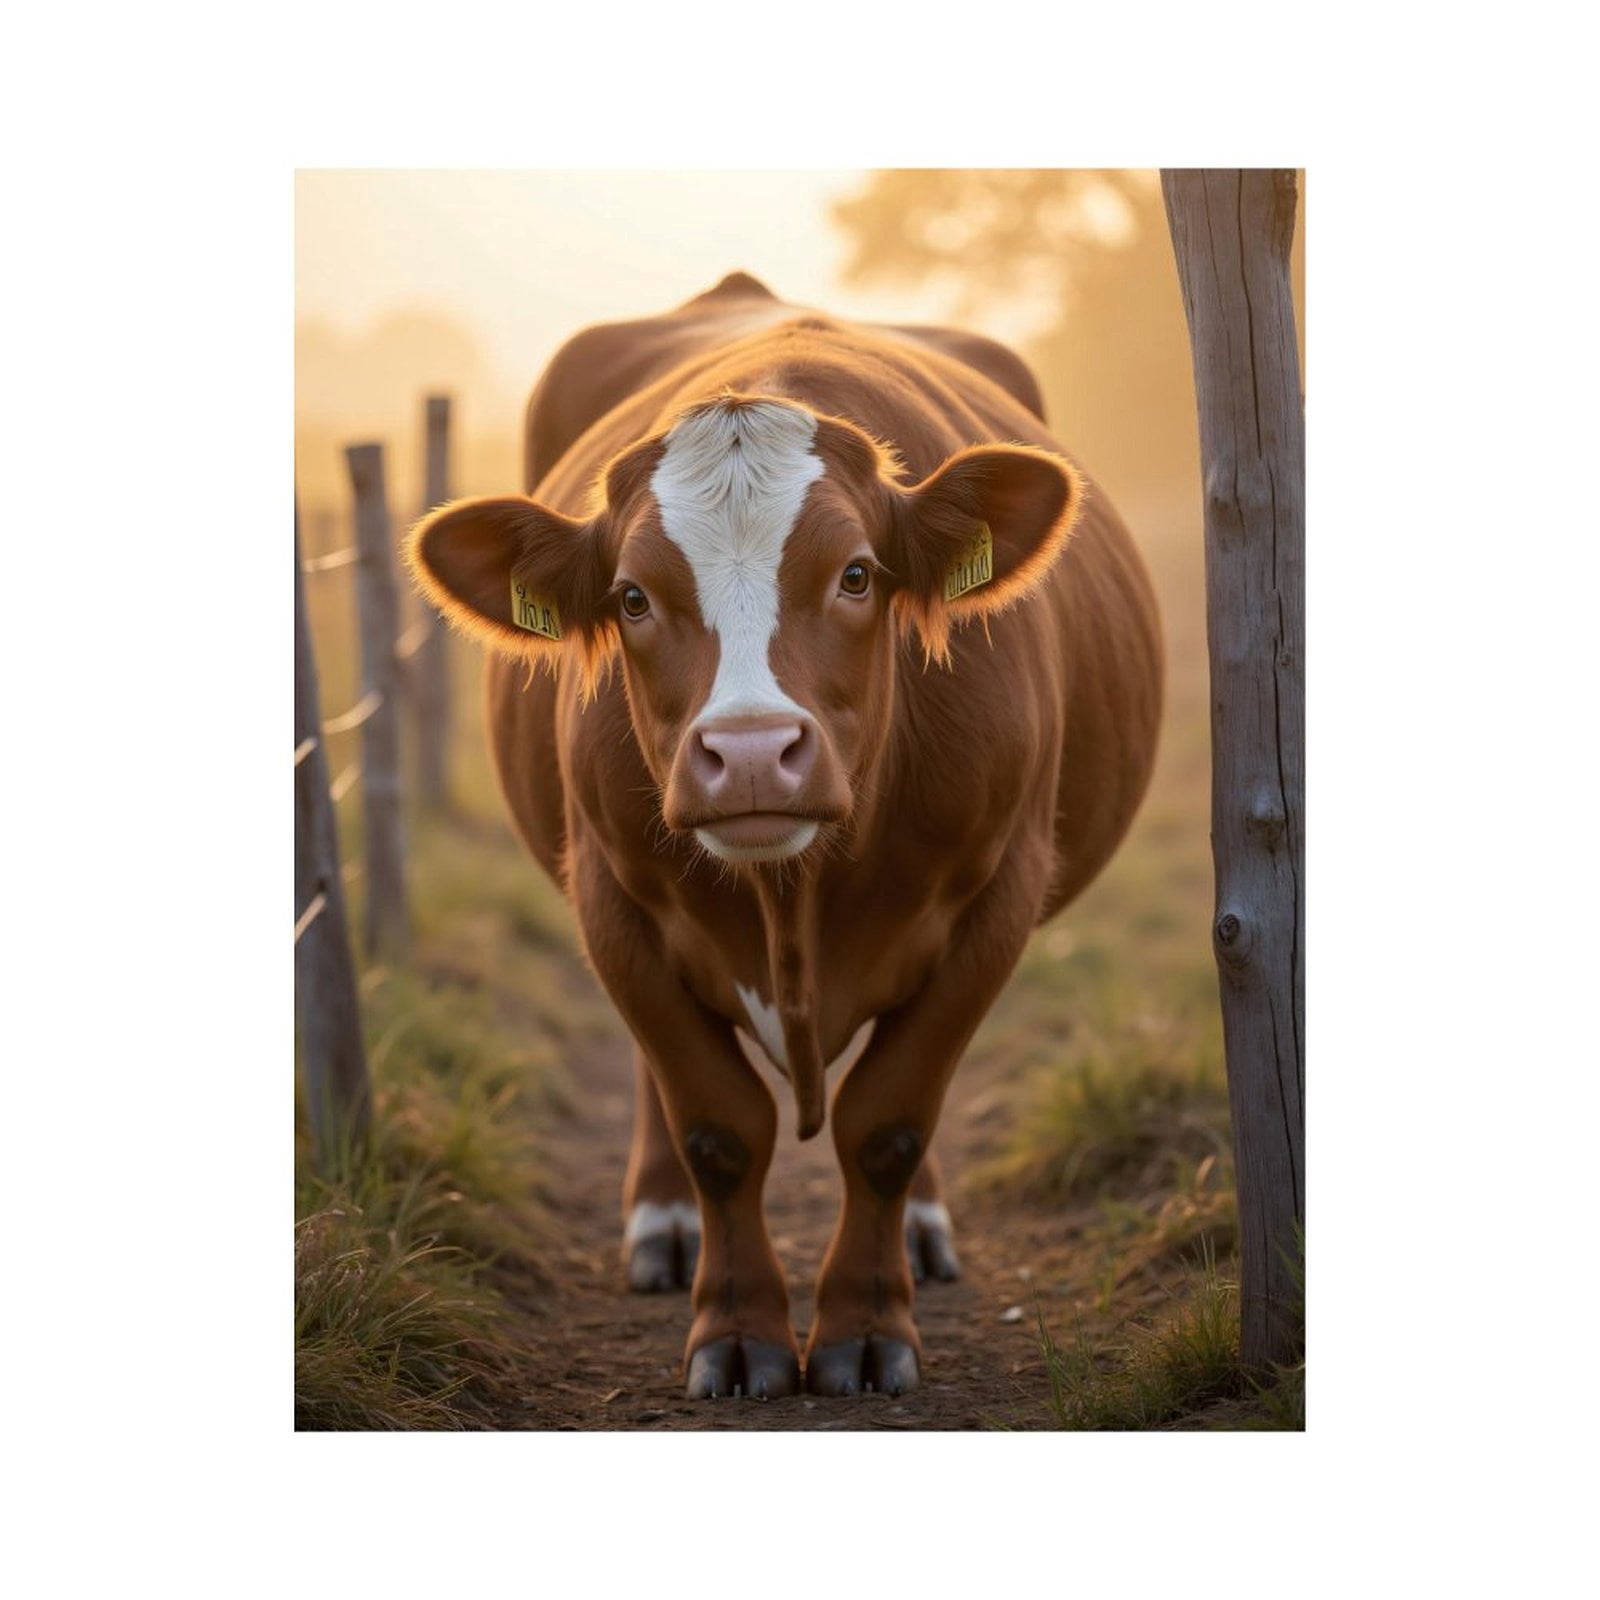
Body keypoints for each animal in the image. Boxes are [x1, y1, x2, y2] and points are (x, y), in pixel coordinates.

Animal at [407, 271, 1163, 1400]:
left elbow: (888, 1120)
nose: (754, 752)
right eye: (632, 596)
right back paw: (664, 1224)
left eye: (857, 575)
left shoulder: (999, 895)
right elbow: (719, 1126)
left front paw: (865, 1327)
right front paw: (736, 1331)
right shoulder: (611, 897)